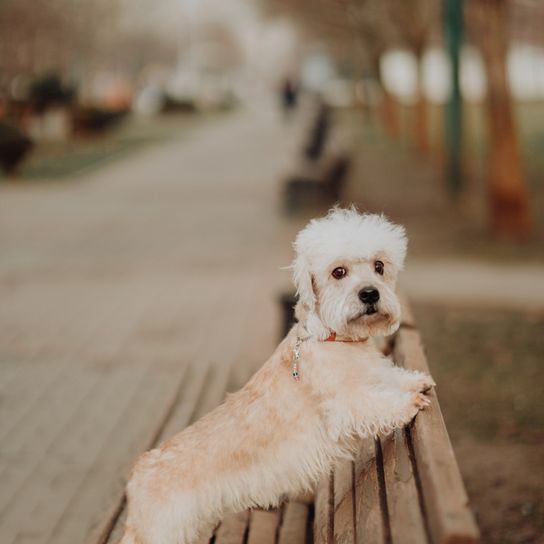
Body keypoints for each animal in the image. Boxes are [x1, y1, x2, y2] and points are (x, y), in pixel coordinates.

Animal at [119, 206, 434, 540]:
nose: (370, 294)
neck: (332, 339)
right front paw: (409, 401)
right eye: (338, 272)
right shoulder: (346, 404)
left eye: (379, 266)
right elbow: (375, 404)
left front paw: (417, 380)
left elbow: (390, 378)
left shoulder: (372, 374)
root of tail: (136, 480)